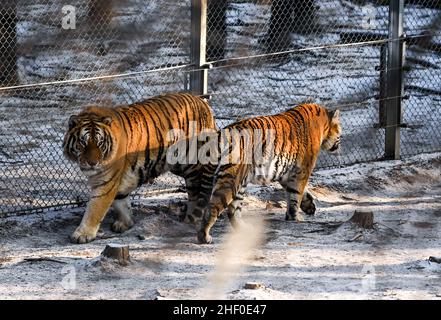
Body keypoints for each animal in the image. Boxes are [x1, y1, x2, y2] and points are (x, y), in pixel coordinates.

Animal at [62, 94, 217, 244]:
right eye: (83, 142)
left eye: (100, 143)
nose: (92, 163)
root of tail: (203, 102)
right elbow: (121, 202)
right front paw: (126, 223)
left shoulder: (106, 182)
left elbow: (95, 208)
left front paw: (83, 234)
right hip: (177, 164)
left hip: (193, 164)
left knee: (199, 191)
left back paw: (192, 219)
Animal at [190, 104, 340, 244]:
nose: (339, 143)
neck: (323, 124)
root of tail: (220, 134)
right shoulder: (302, 171)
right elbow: (296, 195)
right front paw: (295, 217)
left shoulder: (286, 174)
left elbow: (296, 193)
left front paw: (308, 207)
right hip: (231, 181)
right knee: (214, 208)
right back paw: (204, 237)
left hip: (239, 182)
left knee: (233, 210)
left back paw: (244, 229)